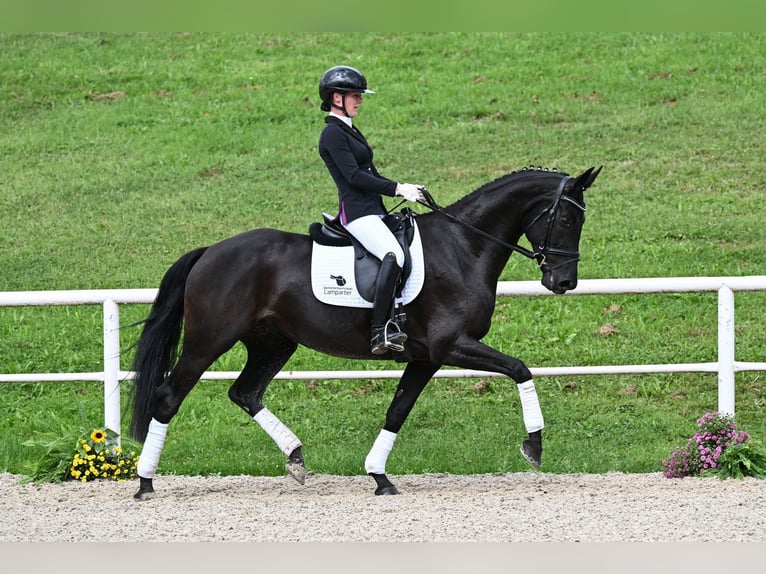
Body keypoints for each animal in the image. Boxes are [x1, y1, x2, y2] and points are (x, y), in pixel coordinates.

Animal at [129, 165, 604, 500]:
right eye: (566, 219)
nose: (564, 282)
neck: (463, 247)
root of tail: (211, 251)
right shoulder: (452, 346)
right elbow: (520, 369)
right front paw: (534, 446)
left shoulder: (426, 357)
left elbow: (397, 411)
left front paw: (380, 476)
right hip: (208, 341)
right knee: (168, 398)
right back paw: (145, 483)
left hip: (273, 343)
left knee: (245, 392)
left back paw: (296, 457)